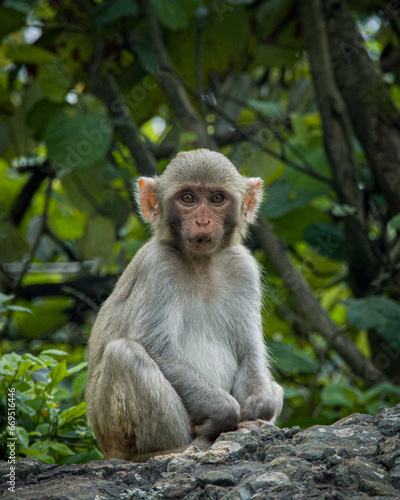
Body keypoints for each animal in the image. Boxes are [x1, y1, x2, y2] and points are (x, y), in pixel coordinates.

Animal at [85, 147, 284, 460]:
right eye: (188, 198)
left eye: (217, 198)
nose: (202, 222)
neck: (201, 265)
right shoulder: (158, 267)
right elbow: (157, 349)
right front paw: (225, 414)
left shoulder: (243, 269)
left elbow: (249, 353)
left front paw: (259, 409)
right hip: (115, 433)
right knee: (125, 355)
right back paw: (177, 449)